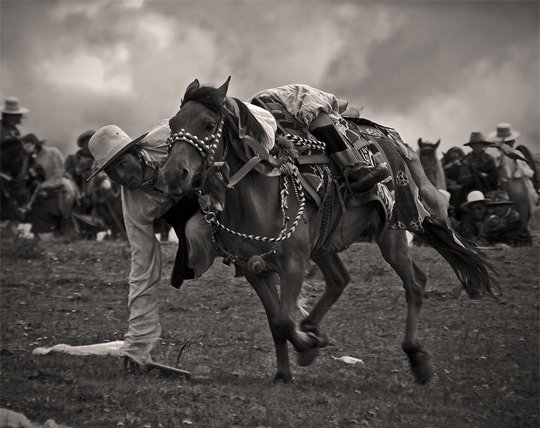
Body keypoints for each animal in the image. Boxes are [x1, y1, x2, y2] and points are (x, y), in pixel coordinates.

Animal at [162, 77, 496, 384]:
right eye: (173, 124)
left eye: (208, 125)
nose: (173, 174)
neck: (258, 193)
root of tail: (393, 142)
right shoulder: (254, 269)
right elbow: (275, 322)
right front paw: (285, 371)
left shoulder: (293, 263)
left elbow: (284, 320)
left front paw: (308, 345)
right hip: (326, 242)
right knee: (341, 279)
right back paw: (312, 329)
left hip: (392, 231)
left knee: (414, 284)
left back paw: (415, 357)